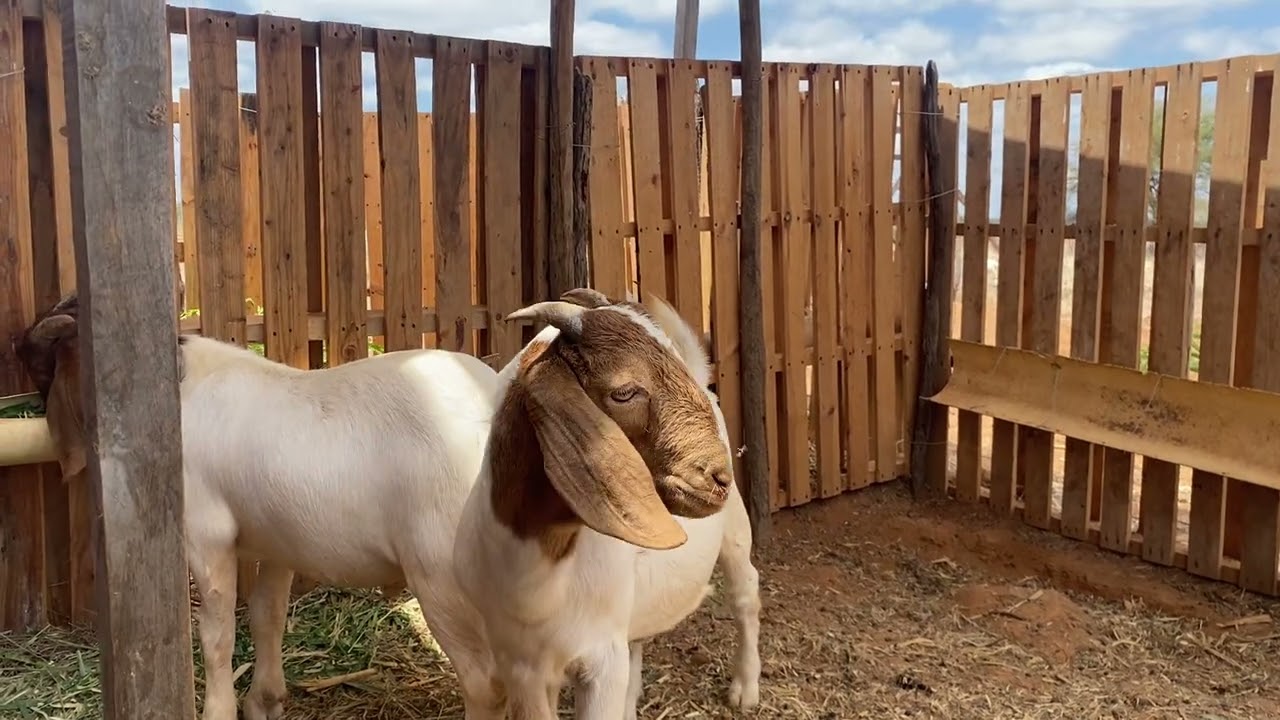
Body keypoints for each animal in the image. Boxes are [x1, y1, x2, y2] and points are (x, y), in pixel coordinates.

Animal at [16, 293, 510, 720]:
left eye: (40, 362)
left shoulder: (207, 534)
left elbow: (215, 632)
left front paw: (218, 711)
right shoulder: (278, 539)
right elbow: (266, 614)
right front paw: (265, 701)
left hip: (442, 574)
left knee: (486, 683)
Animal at [452, 291, 762, 720]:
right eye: (624, 391)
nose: (719, 478)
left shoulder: (601, 661)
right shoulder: (522, 666)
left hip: (734, 527)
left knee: (745, 589)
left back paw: (746, 687)